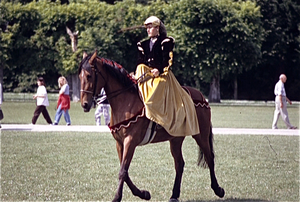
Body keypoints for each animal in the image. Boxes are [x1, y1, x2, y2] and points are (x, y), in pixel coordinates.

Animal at [78, 51, 224, 202]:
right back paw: (174, 195)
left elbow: (123, 171)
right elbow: (125, 171)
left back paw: (218, 189)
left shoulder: (130, 142)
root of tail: (201, 97)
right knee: (179, 164)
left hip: (201, 135)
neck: (125, 101)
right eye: (80, 76)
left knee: (209, 158)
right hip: (176, 139)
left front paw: (117, 197)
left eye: (89, 76)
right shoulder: (120, 143)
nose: (85, 104)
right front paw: (143, 193)